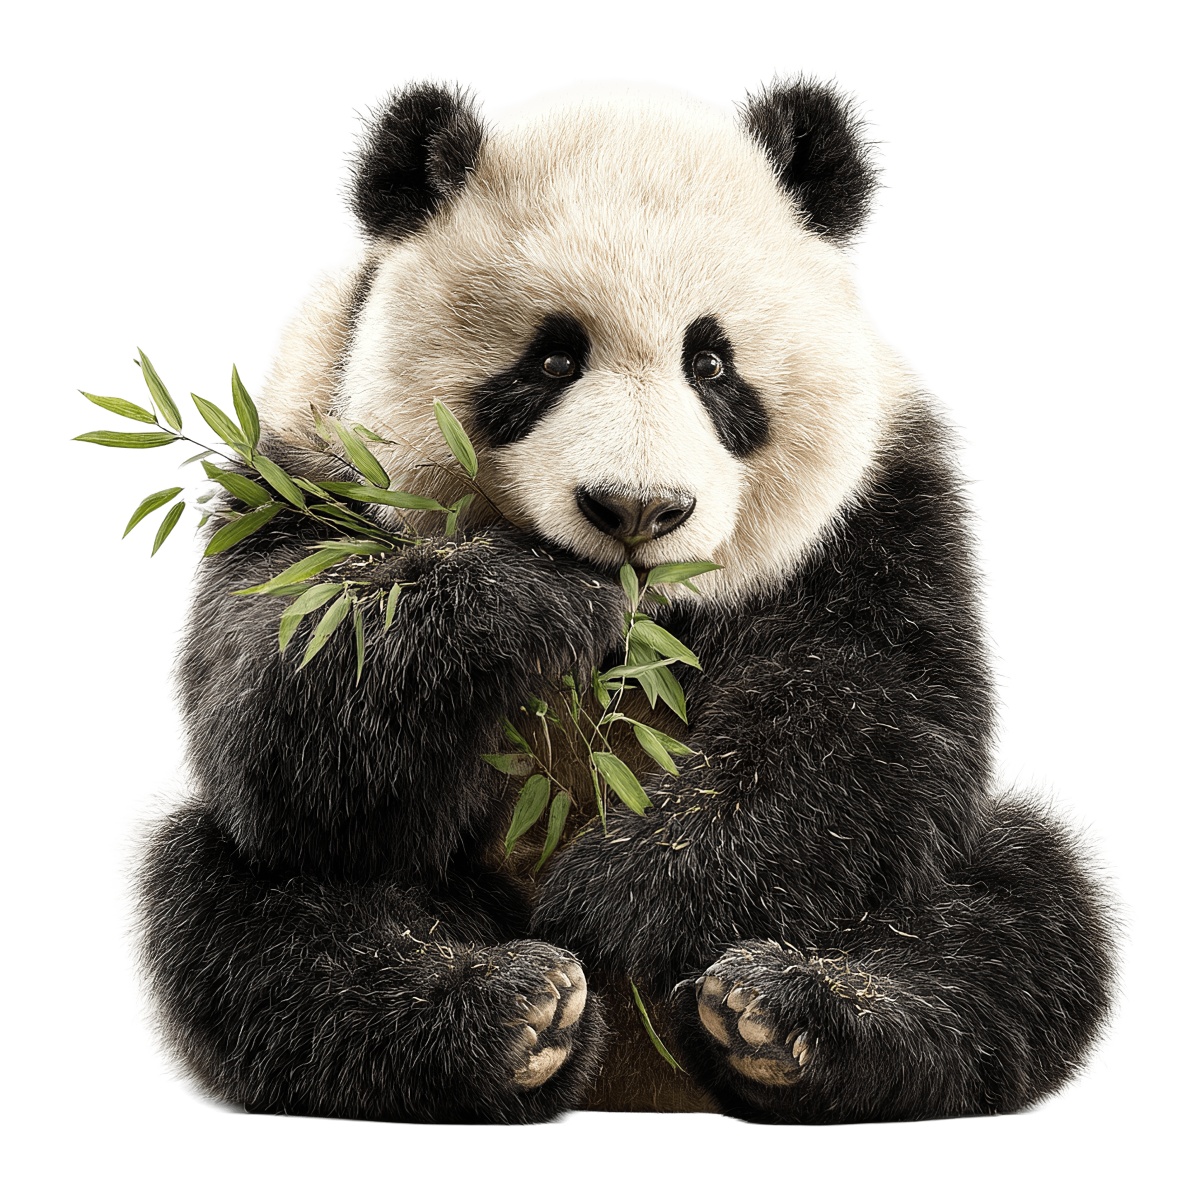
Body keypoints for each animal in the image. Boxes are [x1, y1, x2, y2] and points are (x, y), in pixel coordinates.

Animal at [138, 79, 1115, 1123]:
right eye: (551, 360)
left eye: (712, 363)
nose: (637, 510)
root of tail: (641, 1083)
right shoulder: (304, 473)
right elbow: (283, 722)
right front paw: (530, 598)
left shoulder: (877, 500)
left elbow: (861, 718)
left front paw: (623, 901)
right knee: (250, 911)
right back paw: (511, 1015)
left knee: (1017, 910)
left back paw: (781, 1018)